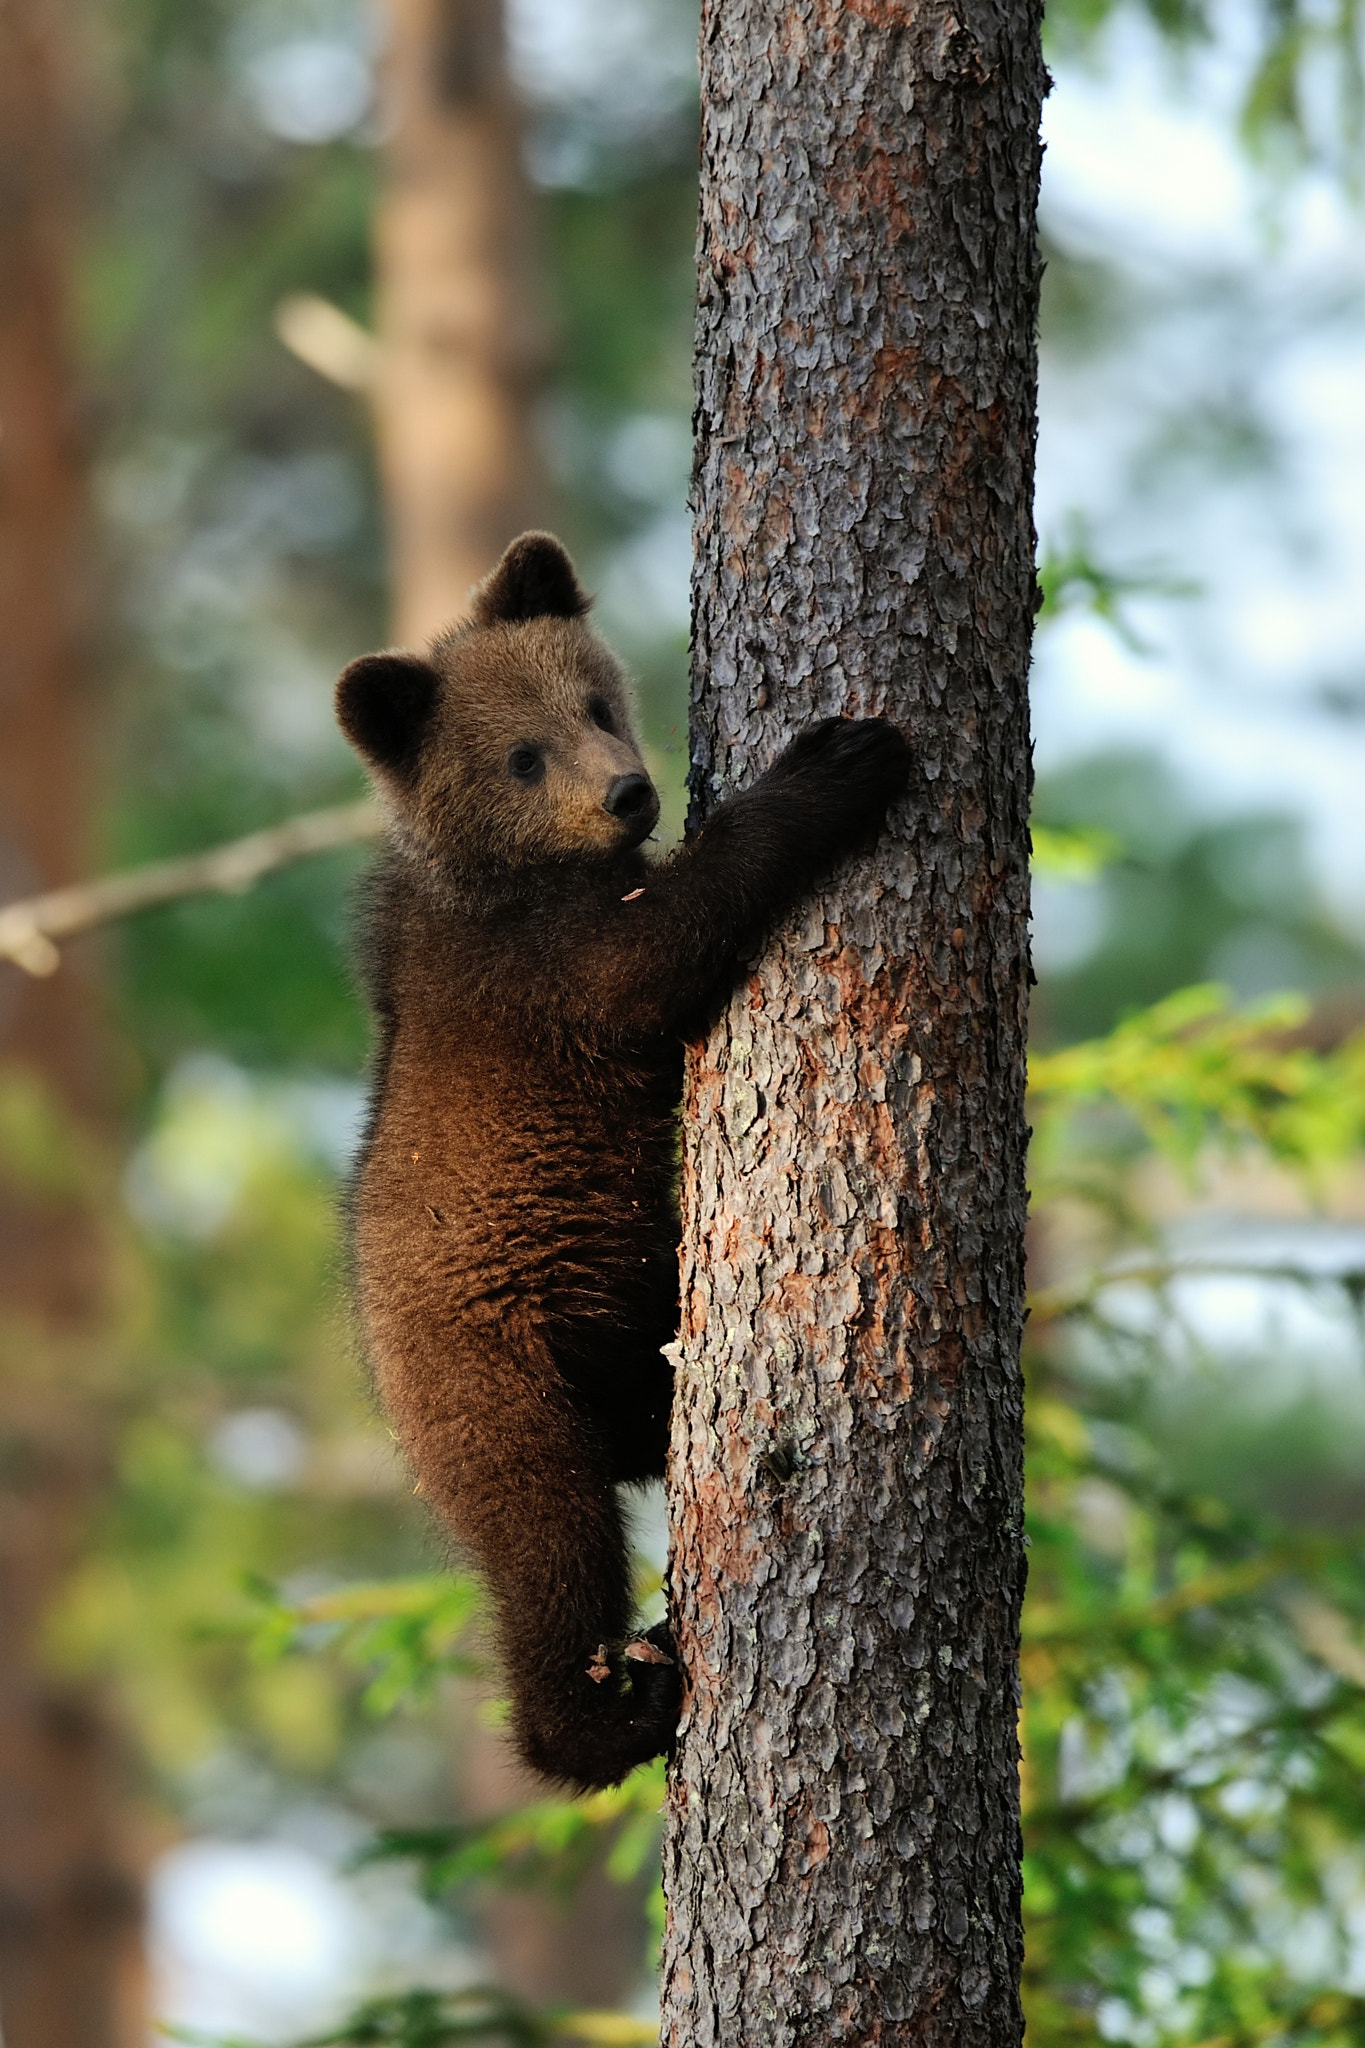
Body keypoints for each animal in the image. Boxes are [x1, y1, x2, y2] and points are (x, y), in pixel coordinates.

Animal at [336, 531, 910, 1791]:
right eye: (521, 754)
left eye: (595, 700)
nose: (628, 790)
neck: (506, 871)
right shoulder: (537, 970)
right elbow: (661, 951)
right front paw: (838, 759)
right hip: (498, 1375)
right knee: (547, 1541)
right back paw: (611, 1704)